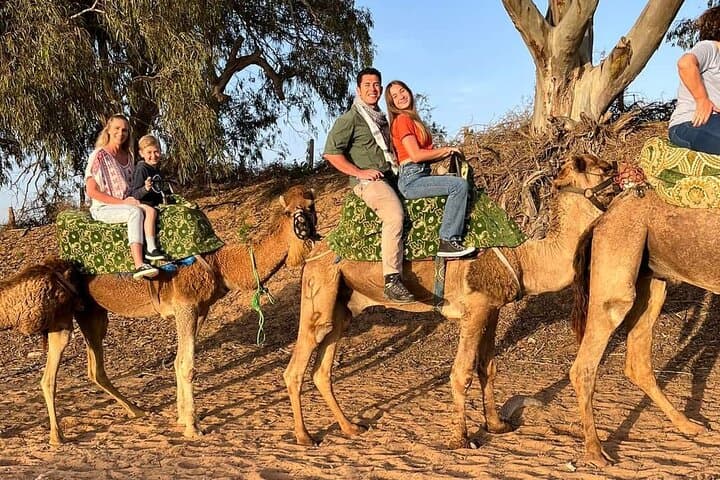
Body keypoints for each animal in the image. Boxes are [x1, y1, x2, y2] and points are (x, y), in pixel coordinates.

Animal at [70, 185, 317, 440]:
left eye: (311, 207)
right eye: (290, 212)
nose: (304, 229)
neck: (218, 262)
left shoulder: (200, 309)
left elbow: (178, 361)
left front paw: (182, 419)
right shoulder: (185, 305)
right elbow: (187, 366)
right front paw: (192, 426)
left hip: (93, 311)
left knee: (95, 368)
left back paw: (135, 410)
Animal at [284, 154, 616, 448]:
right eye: (598, 168)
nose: (618, 169)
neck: (523, 258)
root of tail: (316, 248)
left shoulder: (491, 309)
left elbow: (487, 368)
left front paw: (497, 425)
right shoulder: (474, 309)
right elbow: (461, 374)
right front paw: (461, 438)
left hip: (343, 304)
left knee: (322, 369)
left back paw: (351, 428)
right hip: (320, 289)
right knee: (296, 368)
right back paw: (305, 437)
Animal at [570, 188, 716, 467]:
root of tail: (601, 220)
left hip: (653, 281)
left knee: (637, 361)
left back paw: (689, 425)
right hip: (617, 273)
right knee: (584, 365)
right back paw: (595, 452)